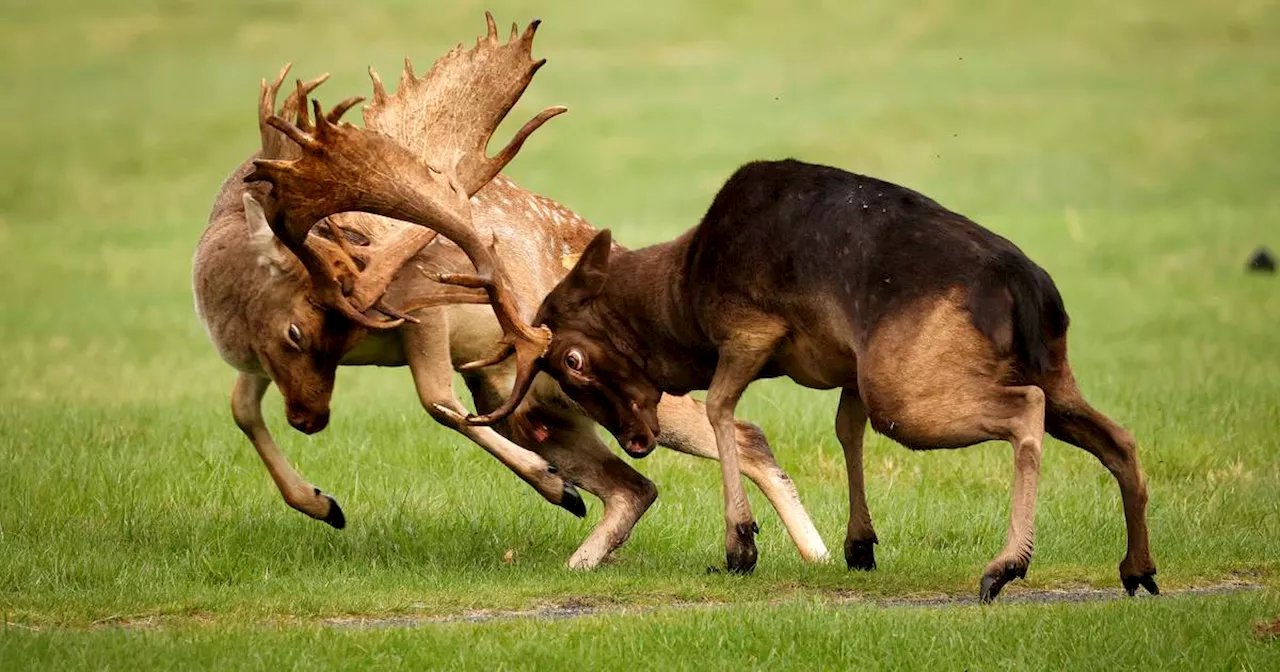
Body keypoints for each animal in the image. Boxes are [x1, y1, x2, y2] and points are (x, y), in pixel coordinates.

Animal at [192, 15, 829, 568]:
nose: (310, 420)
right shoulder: (263, 361)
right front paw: (322, 504)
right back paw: (582, 557)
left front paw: (552, 485)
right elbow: (241, 407)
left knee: (743, 435)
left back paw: (810, 553)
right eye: (298, 330)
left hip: (622, 386)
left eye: (314, 328)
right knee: (636, 486)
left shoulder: (426, 309)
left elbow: (436, 400)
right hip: (543, 398)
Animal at [435, 160, 1157, 599]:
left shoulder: (751, 330)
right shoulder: (848, 368)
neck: (681, 298)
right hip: (1051, 369)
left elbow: (723, 409)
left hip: (913, 391)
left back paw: (1004, 567)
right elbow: (844, 429)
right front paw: (858, 543)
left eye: (573, 360)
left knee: (1025, 411)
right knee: (1118, 436)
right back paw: (1138, 570)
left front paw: (740, 543)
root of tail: (1029, 287)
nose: (638, 439)